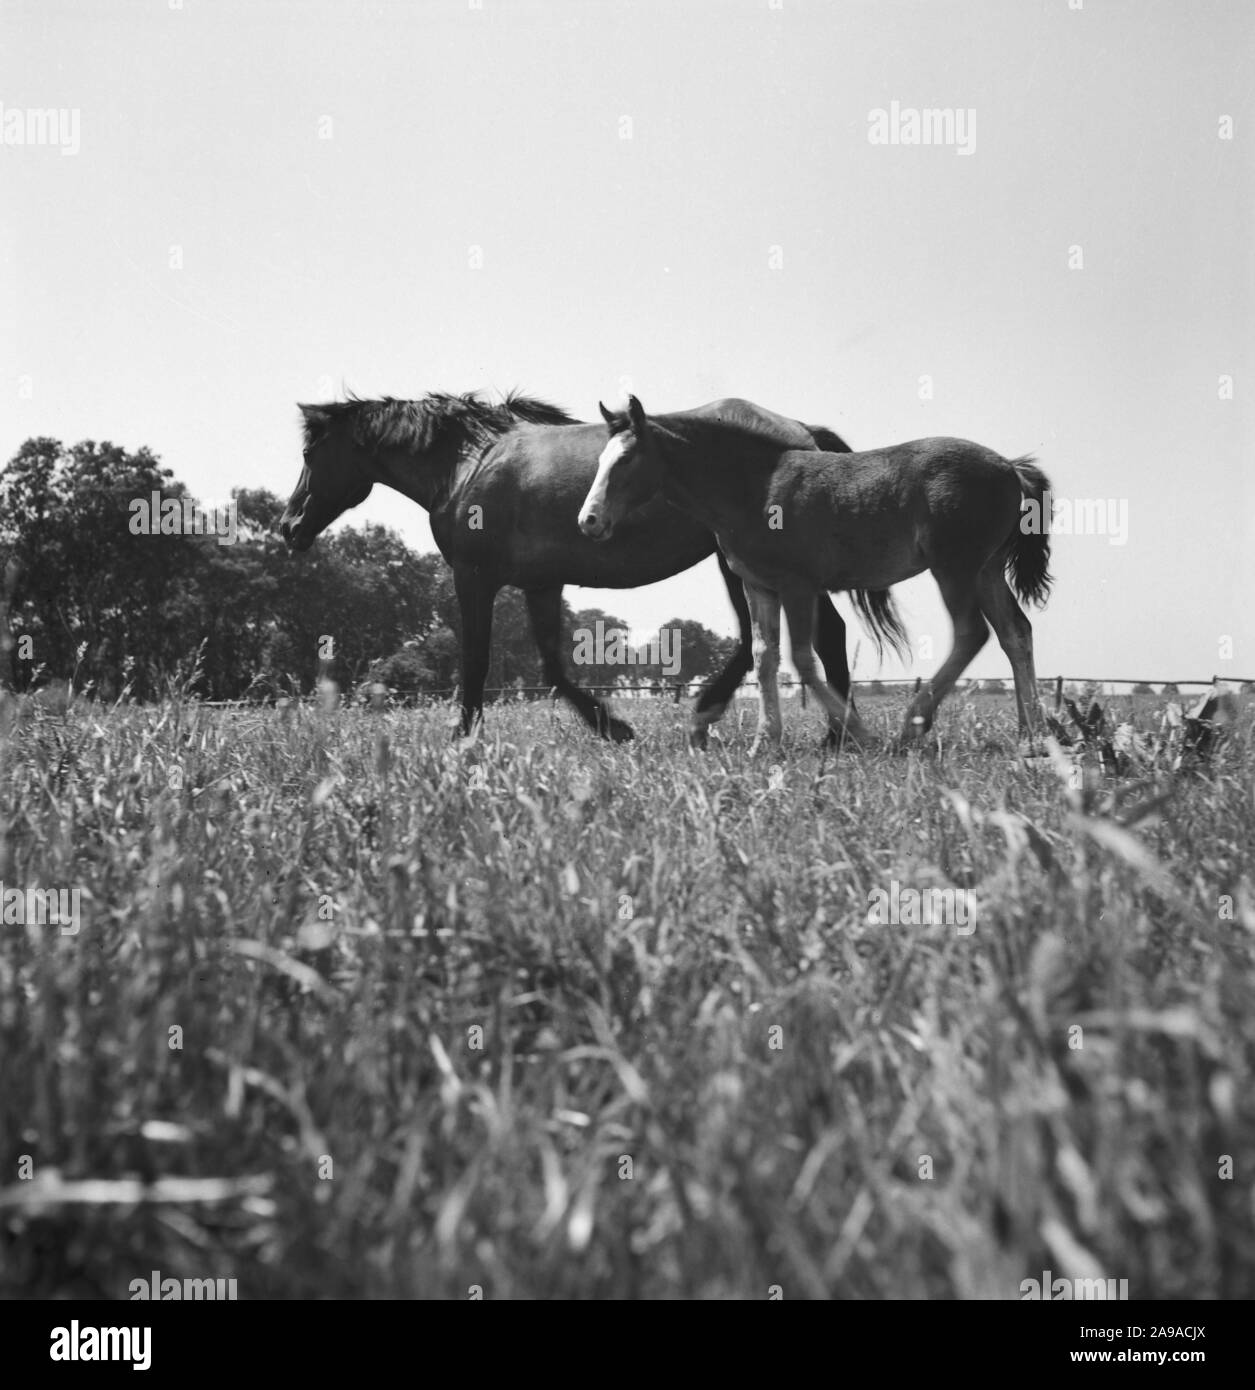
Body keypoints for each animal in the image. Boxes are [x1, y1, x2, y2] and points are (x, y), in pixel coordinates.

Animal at [279, 391, 900, 750]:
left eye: (310, 455)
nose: (289, 526)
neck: (467, 463)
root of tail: (802, 433)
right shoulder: (540, 583)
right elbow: (553, 665)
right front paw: (613, 727)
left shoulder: (474, 578)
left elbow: (477, 661)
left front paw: (462, 738)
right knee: (798, 638)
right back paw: (828, 731)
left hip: (747, 562)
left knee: (798, 637)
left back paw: (799, 729)